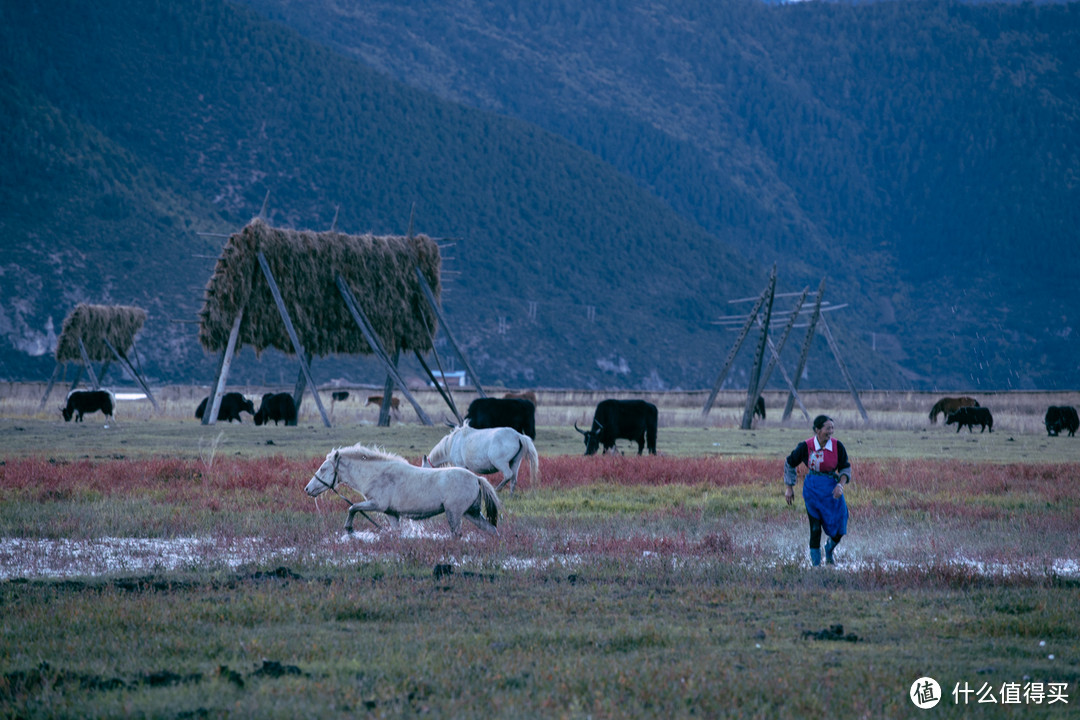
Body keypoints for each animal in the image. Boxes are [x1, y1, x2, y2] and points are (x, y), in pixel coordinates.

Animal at [306, 442, 503, 537]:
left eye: (323, 468)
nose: (308, 489)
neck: (376, 474)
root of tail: (476, 478)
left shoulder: (376, 504)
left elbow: (352, 507)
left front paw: (349, 529)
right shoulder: (392, 514)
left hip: (454, 513)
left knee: (457, 534)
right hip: (472, 513)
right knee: (491, 530)